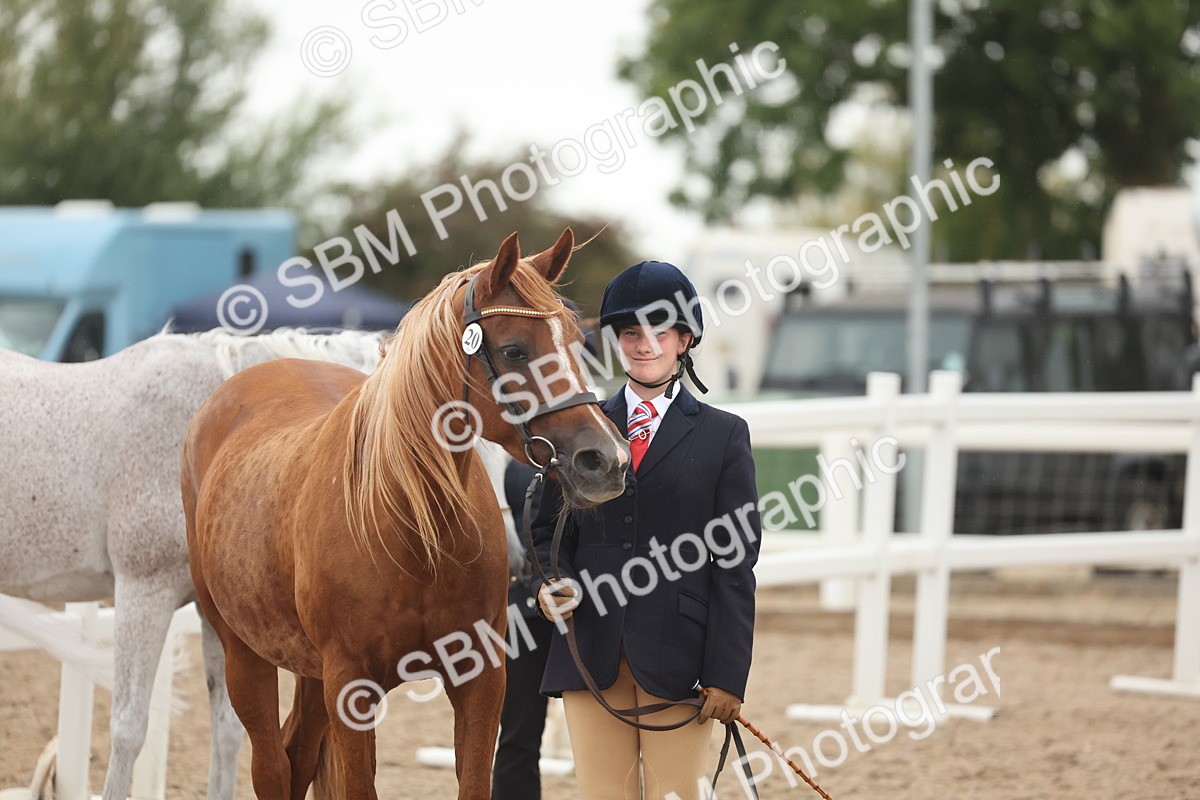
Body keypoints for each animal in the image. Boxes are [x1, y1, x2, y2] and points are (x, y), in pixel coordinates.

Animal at [182, 229, 629, 800]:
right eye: (514, 350)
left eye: (577, 345)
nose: (606, 461)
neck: (414, 529)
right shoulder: (350, 687)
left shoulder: (481, 680)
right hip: (244, 654)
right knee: (272, 767)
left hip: (309, 672)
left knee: (297, 754)